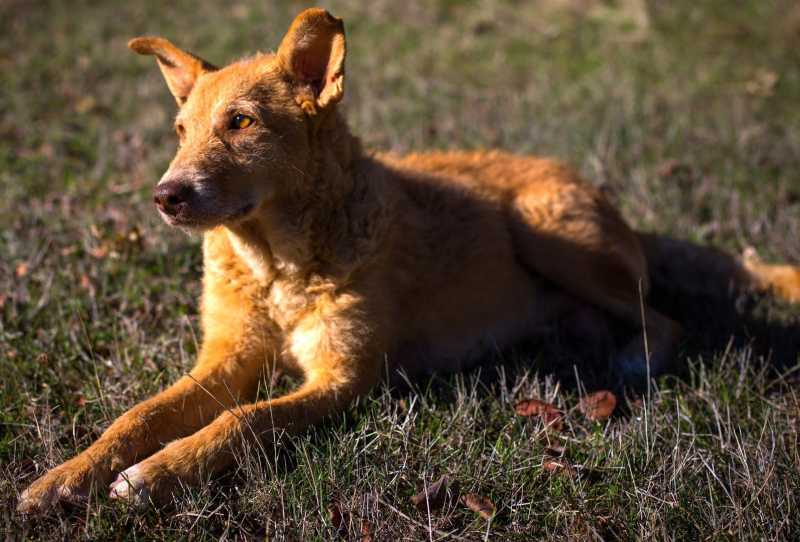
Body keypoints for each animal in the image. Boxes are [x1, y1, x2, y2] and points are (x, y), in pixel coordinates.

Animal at [18, 6, 800, 512]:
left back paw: (632, 360)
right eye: (181, 130)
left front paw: (156, 474)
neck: (276, 264)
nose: (166, 196)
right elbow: (137, 417)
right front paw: (66, 477)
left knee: (663, 317)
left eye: (240, 123)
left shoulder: (343, 379)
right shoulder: (224, 359)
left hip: (548, 234)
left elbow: (241, 422)